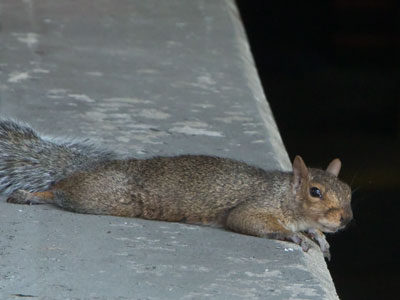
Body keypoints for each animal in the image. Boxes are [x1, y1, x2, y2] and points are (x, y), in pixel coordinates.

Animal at [0, 118, 352, 258]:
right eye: (315, 192)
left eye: (348, 192)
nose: (346, 220)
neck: (284, 194)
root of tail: (85, 167)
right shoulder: (255, 205)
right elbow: (249, 220)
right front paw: (295, 235)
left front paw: (319, 236)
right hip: (103, 195)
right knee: (60, 189)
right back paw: (30, 195)